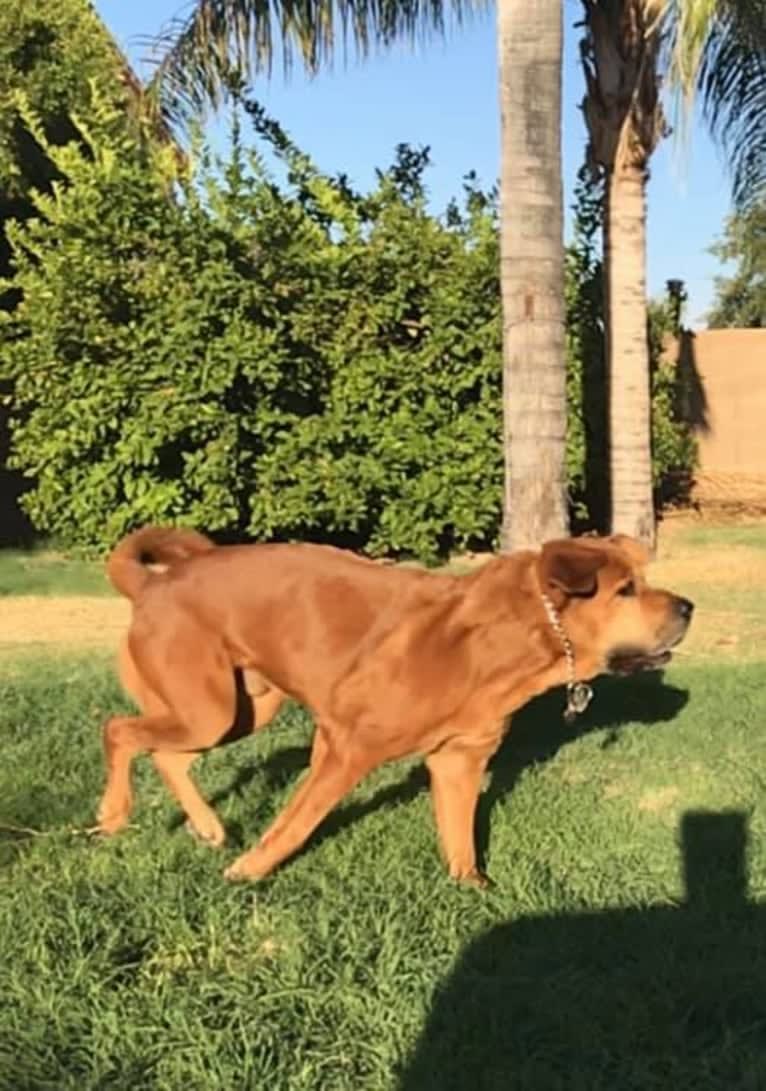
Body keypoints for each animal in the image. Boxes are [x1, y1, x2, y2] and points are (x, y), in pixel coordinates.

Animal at [97, 530, 698, 885]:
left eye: (641, 582)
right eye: (625, 590)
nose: (689, 606)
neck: (505, 641)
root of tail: (150, 584)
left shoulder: (459, 760)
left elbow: (460, 835)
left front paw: (473, 891)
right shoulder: (343, 746)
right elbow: (298, 821)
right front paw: (251, 870)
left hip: (241, 709)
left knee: (165, 753)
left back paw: (206, 827)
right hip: (210, 707)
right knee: (119, 729)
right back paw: (113, 815)